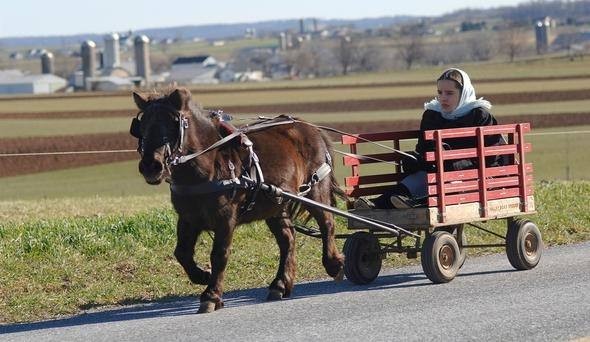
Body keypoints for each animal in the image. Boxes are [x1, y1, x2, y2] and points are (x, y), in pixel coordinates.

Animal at [133, 87, 346, 312]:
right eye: (142, 125)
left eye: (174, 123)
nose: (151, 166)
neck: (208, 164)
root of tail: (310, 127)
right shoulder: (188, 218)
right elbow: (181, 252)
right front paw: (202, 275)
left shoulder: (225, 218)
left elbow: (219, 254)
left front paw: (211, 295)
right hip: (275, 203)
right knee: (287, 239)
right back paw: (280, 284)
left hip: (315, 190)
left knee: (327, 223)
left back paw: (334, 264)